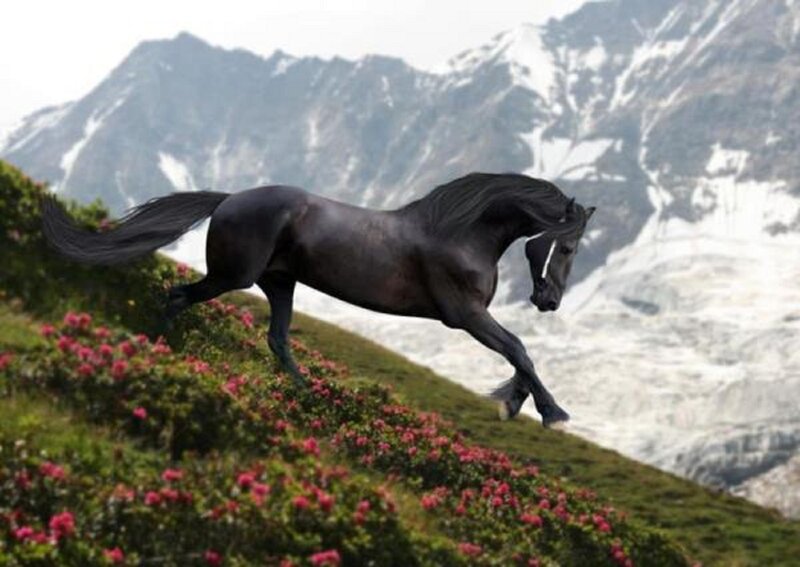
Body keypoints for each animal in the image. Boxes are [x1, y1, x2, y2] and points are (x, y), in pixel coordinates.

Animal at [42, 172, 595, 428]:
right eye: (567, 247)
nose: (549, 301)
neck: (462, 233)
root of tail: (227, 199)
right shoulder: (465, 315)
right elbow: (518, 348)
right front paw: (550, 411)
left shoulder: (473, 318)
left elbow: (518, 356)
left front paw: (514, 403)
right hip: (232, 277)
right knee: (180, 296)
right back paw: (158, 347)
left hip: (279, 283)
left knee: (277, 338)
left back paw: (311, 394)